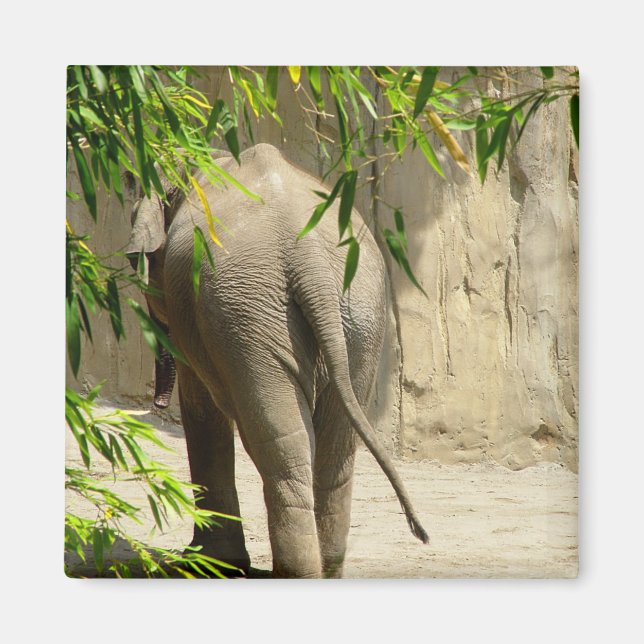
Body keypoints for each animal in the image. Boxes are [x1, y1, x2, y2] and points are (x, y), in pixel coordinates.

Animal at [126, 143, 428, 578]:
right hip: (357, 314)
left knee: (279, 443)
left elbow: (200, 405)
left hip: (249, 313)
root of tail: (309, 261)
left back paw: (294, 571)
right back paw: (325, 569)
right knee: (334, 447)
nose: (157, 403)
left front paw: (205, 562)